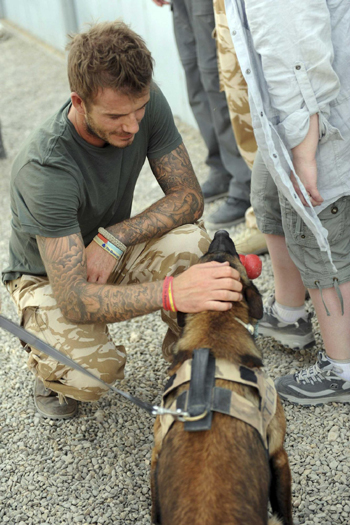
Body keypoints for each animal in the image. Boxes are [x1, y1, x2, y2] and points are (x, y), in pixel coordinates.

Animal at [150, 231, 292, 524]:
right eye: (233, 254)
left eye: (210, 255)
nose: (222, 232)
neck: (214, 327)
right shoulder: (278, 451)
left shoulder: (156, 453)